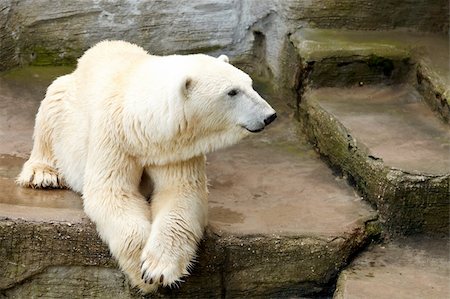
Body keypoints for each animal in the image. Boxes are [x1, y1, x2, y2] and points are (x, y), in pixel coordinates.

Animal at [17, 39, 276, 292]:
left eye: (250, 84)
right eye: (232, 92)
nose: (270, 115)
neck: (143, 126)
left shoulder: (174, 148)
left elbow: (180, 193)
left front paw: (158, 269)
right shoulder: (115, 134)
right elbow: (113, 191)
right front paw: (141, 272)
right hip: (65, 103)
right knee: (50, 109)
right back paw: (43, 174)